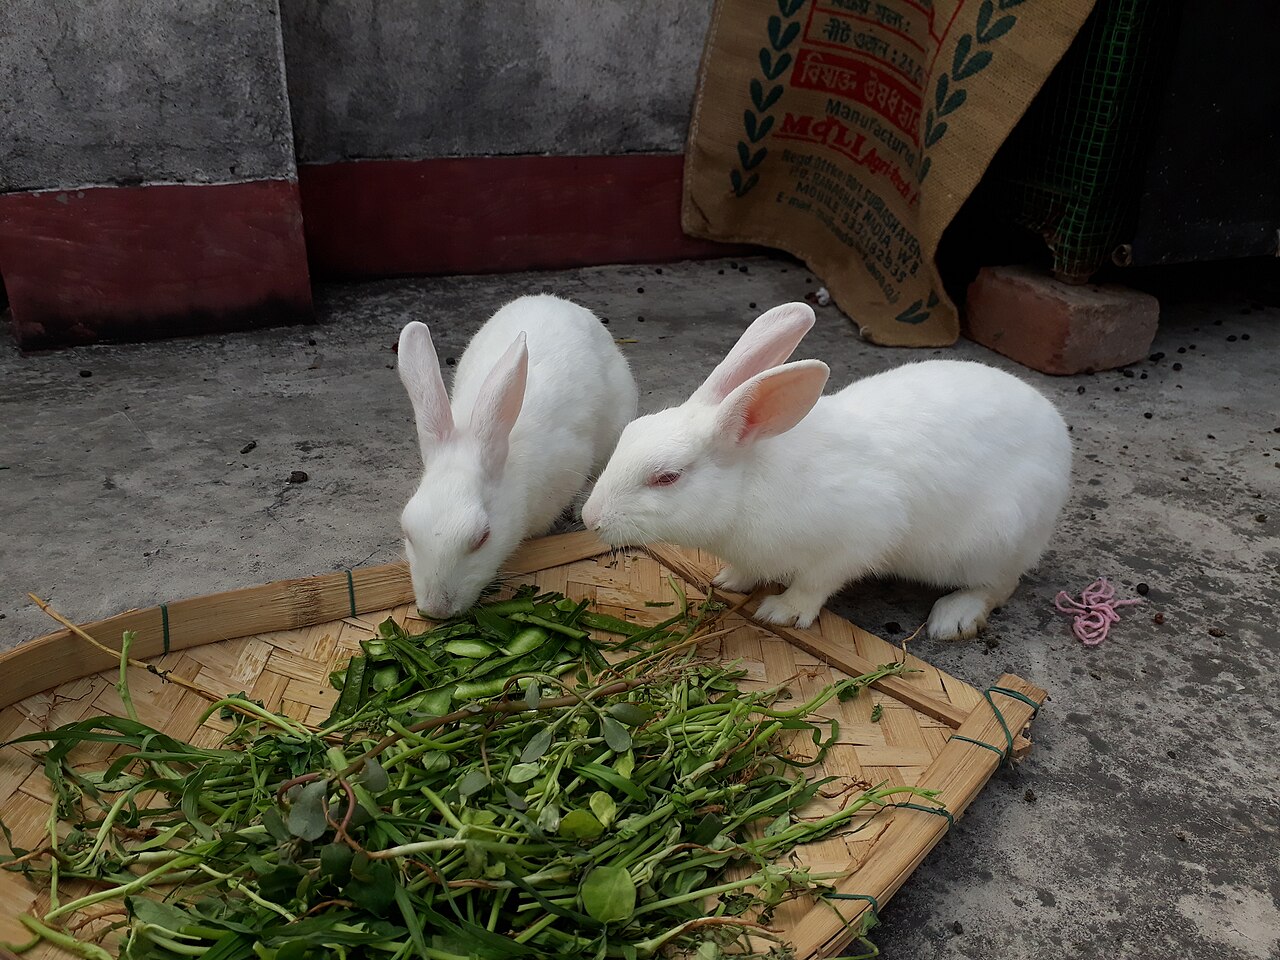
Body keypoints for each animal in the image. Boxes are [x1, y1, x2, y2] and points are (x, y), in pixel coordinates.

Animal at [581, 302, 1072, 640]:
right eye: (630, 433)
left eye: (667, 477)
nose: (590, 519)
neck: (747, 486)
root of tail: (1059, 439)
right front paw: (730, 580)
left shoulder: (857, 539)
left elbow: (817, 582)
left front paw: (781, 611)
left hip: (992, 540)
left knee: (999, 585)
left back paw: (953, 619)